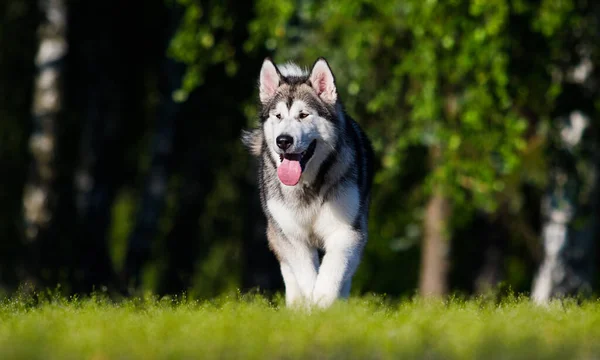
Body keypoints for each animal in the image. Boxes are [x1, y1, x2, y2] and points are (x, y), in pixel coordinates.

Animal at [241, 57, 372, 308]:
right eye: (278, 116)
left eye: (303, 115)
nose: (283, 140)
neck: (307, 184)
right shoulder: (290, 236)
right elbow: (305, 273)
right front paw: (310, 305)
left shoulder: (346, 231)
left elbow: (332, 271)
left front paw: (323, 302)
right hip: (276, 233)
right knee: (290, 274)